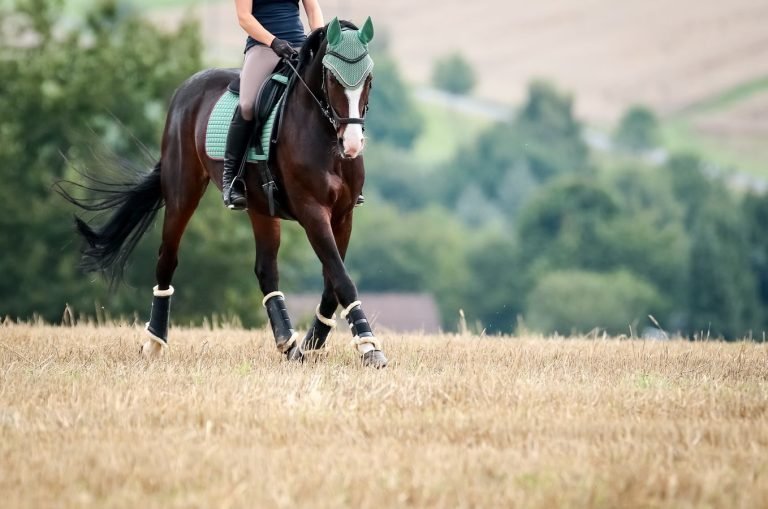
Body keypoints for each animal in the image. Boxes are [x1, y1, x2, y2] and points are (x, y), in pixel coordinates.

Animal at [59, 16, 388, 366]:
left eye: (369, 79)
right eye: (332, 78)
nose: (351, 144)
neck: (325, 137)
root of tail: (187, 88)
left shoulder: (343, 215)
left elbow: (332, 281)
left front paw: (312, 343)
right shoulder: (313, 211)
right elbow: (342, 279)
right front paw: (370, 347)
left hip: (260, 208)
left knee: (265, 270)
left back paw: (288, 344)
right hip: (183, 192)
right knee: (167, 259)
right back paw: (154, 342)